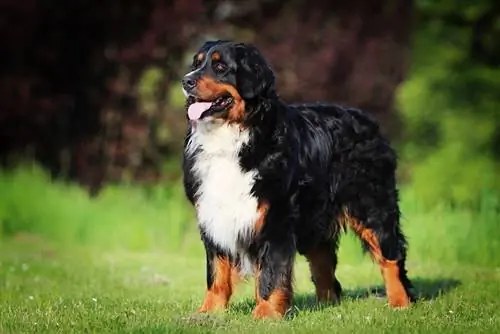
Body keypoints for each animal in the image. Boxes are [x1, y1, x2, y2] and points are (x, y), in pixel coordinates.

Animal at [180, 40, 414, 320]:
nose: (186, 81)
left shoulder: (275, 218)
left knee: (391, 257)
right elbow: (216, 272)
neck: (235, 138)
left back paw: (400, 302)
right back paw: (325, 307)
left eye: (220, 67)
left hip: (371, 206)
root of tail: (367, 119)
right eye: (196, 64)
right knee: (324, 265)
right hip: (316, 219)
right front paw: (208, 313)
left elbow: (270, 273)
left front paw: (265, 314)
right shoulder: (214, 215)